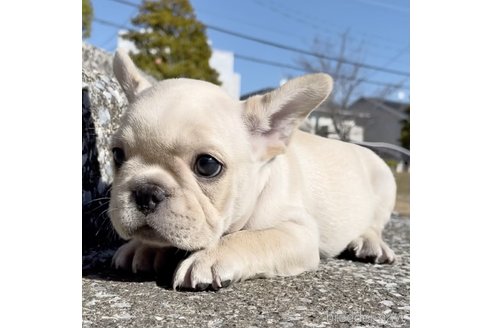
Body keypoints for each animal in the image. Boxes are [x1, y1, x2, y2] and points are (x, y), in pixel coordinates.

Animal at [108, 48, 396, 290]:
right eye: (117, 155)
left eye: (207, 165)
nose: (146, 192)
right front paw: (144, 247)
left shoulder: (298, 232)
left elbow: (254, 237)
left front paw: (210, 256)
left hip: (385, 184)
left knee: (375, 224)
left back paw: (370, 243)